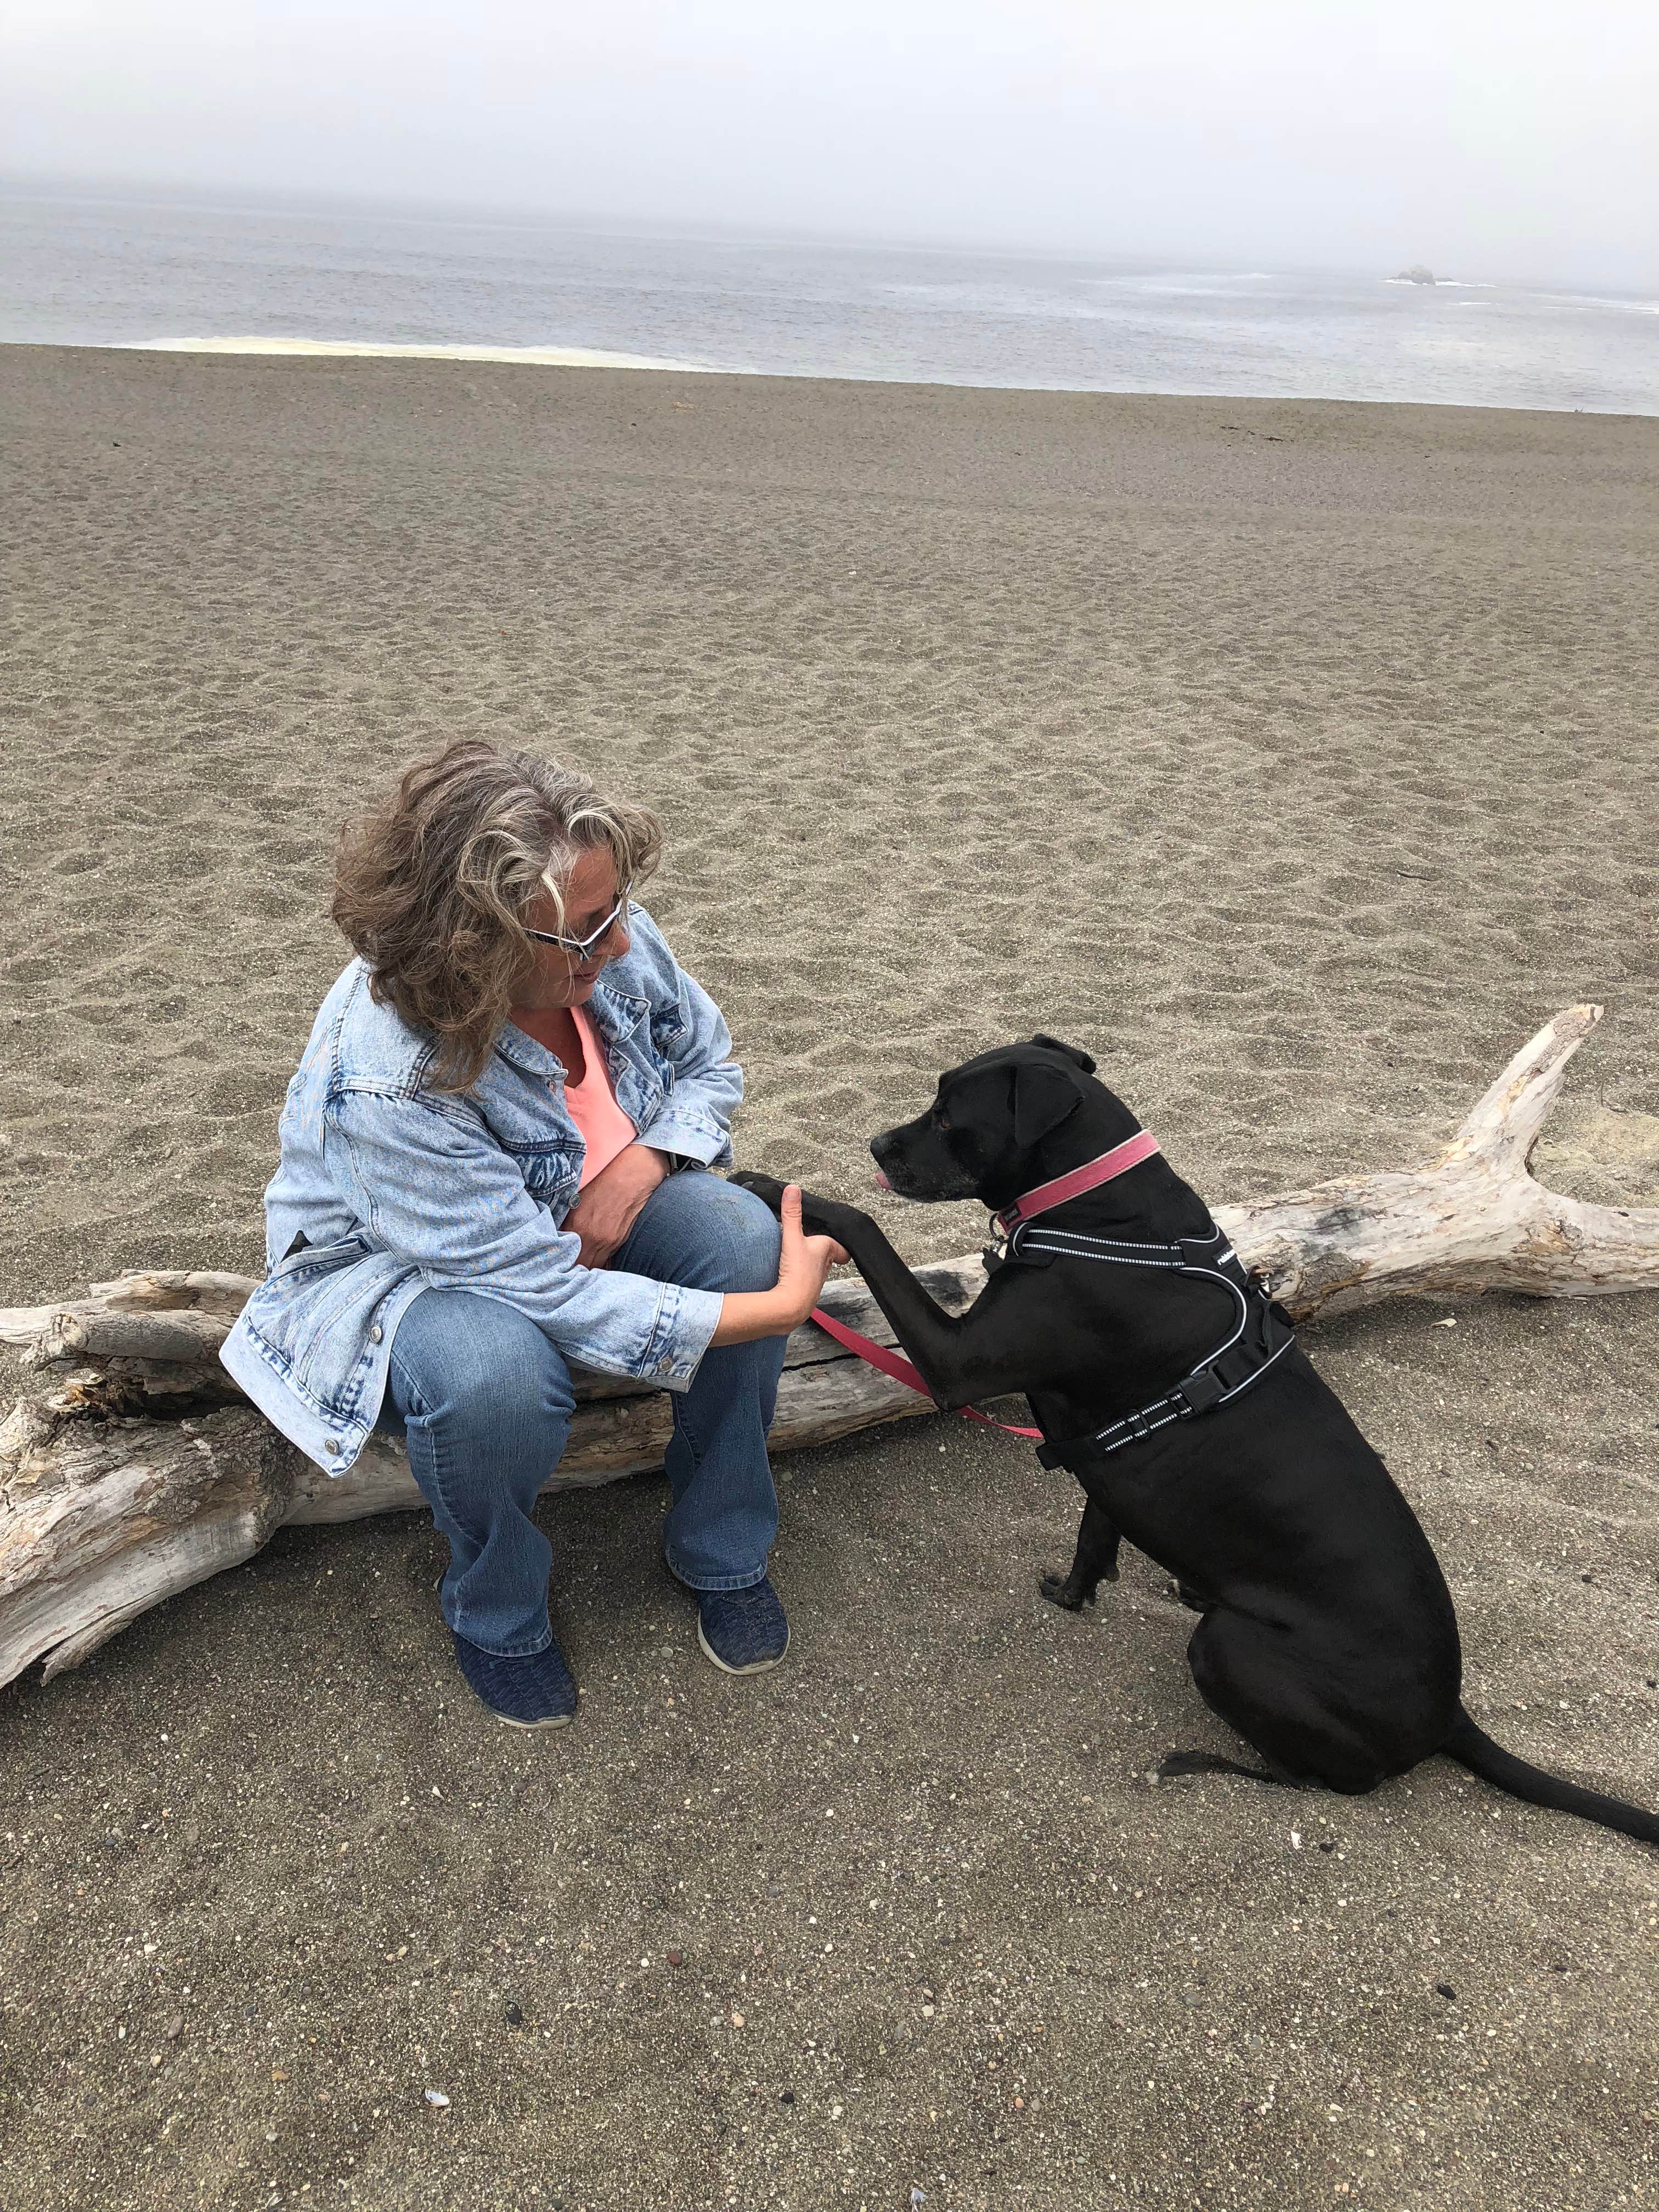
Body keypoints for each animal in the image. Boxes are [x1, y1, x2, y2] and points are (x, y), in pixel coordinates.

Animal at [738, 1035, 1659, 1849]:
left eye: (946, 1112)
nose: (875, 1144)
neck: (1107, 1217)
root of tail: (1448, 1715)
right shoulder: (1100, 1460)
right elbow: (1093, 1535)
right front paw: (1071, 1596)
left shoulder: (959, 1362)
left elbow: (866, 1227)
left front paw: (776, 1185)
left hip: (1229, 1647)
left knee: (1330, 1781)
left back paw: (1200, 1761)